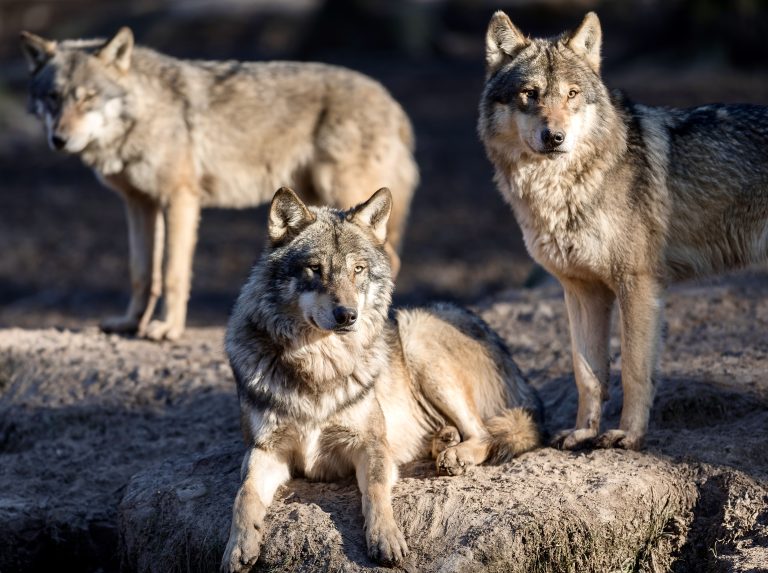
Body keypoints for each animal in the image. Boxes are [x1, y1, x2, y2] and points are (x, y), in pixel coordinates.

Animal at [20, 28, 418, 340]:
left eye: (88, 97)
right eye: (53, 97)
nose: (59, 140)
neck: (144, 113)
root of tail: (393, 104)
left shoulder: (180, 199)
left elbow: (173, 273)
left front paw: (167, 329)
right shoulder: (139, 203)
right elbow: (142, 272)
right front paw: (131, 323)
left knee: (389, 257)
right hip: (315, 201)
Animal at [221, 187, 542, 570]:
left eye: (358, 269)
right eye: (315, 269)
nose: (347, 315)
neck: (321, 363)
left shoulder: (370, 444)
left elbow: (375, 490)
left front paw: (385, 538)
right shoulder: (266, 449)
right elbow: (244, 494)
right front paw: (239, 546)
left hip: (418, 336)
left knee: (486, 432)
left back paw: (456, 454)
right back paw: (443, 439)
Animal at [479, 10, 768, 451]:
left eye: (572, 94)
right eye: (530, 93)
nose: (554, 137)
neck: (562, 190)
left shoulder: (638, 284)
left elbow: (633, 368)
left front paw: (629, 435)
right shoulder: (582, 290)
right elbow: (587, 373)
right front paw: (583, 432)